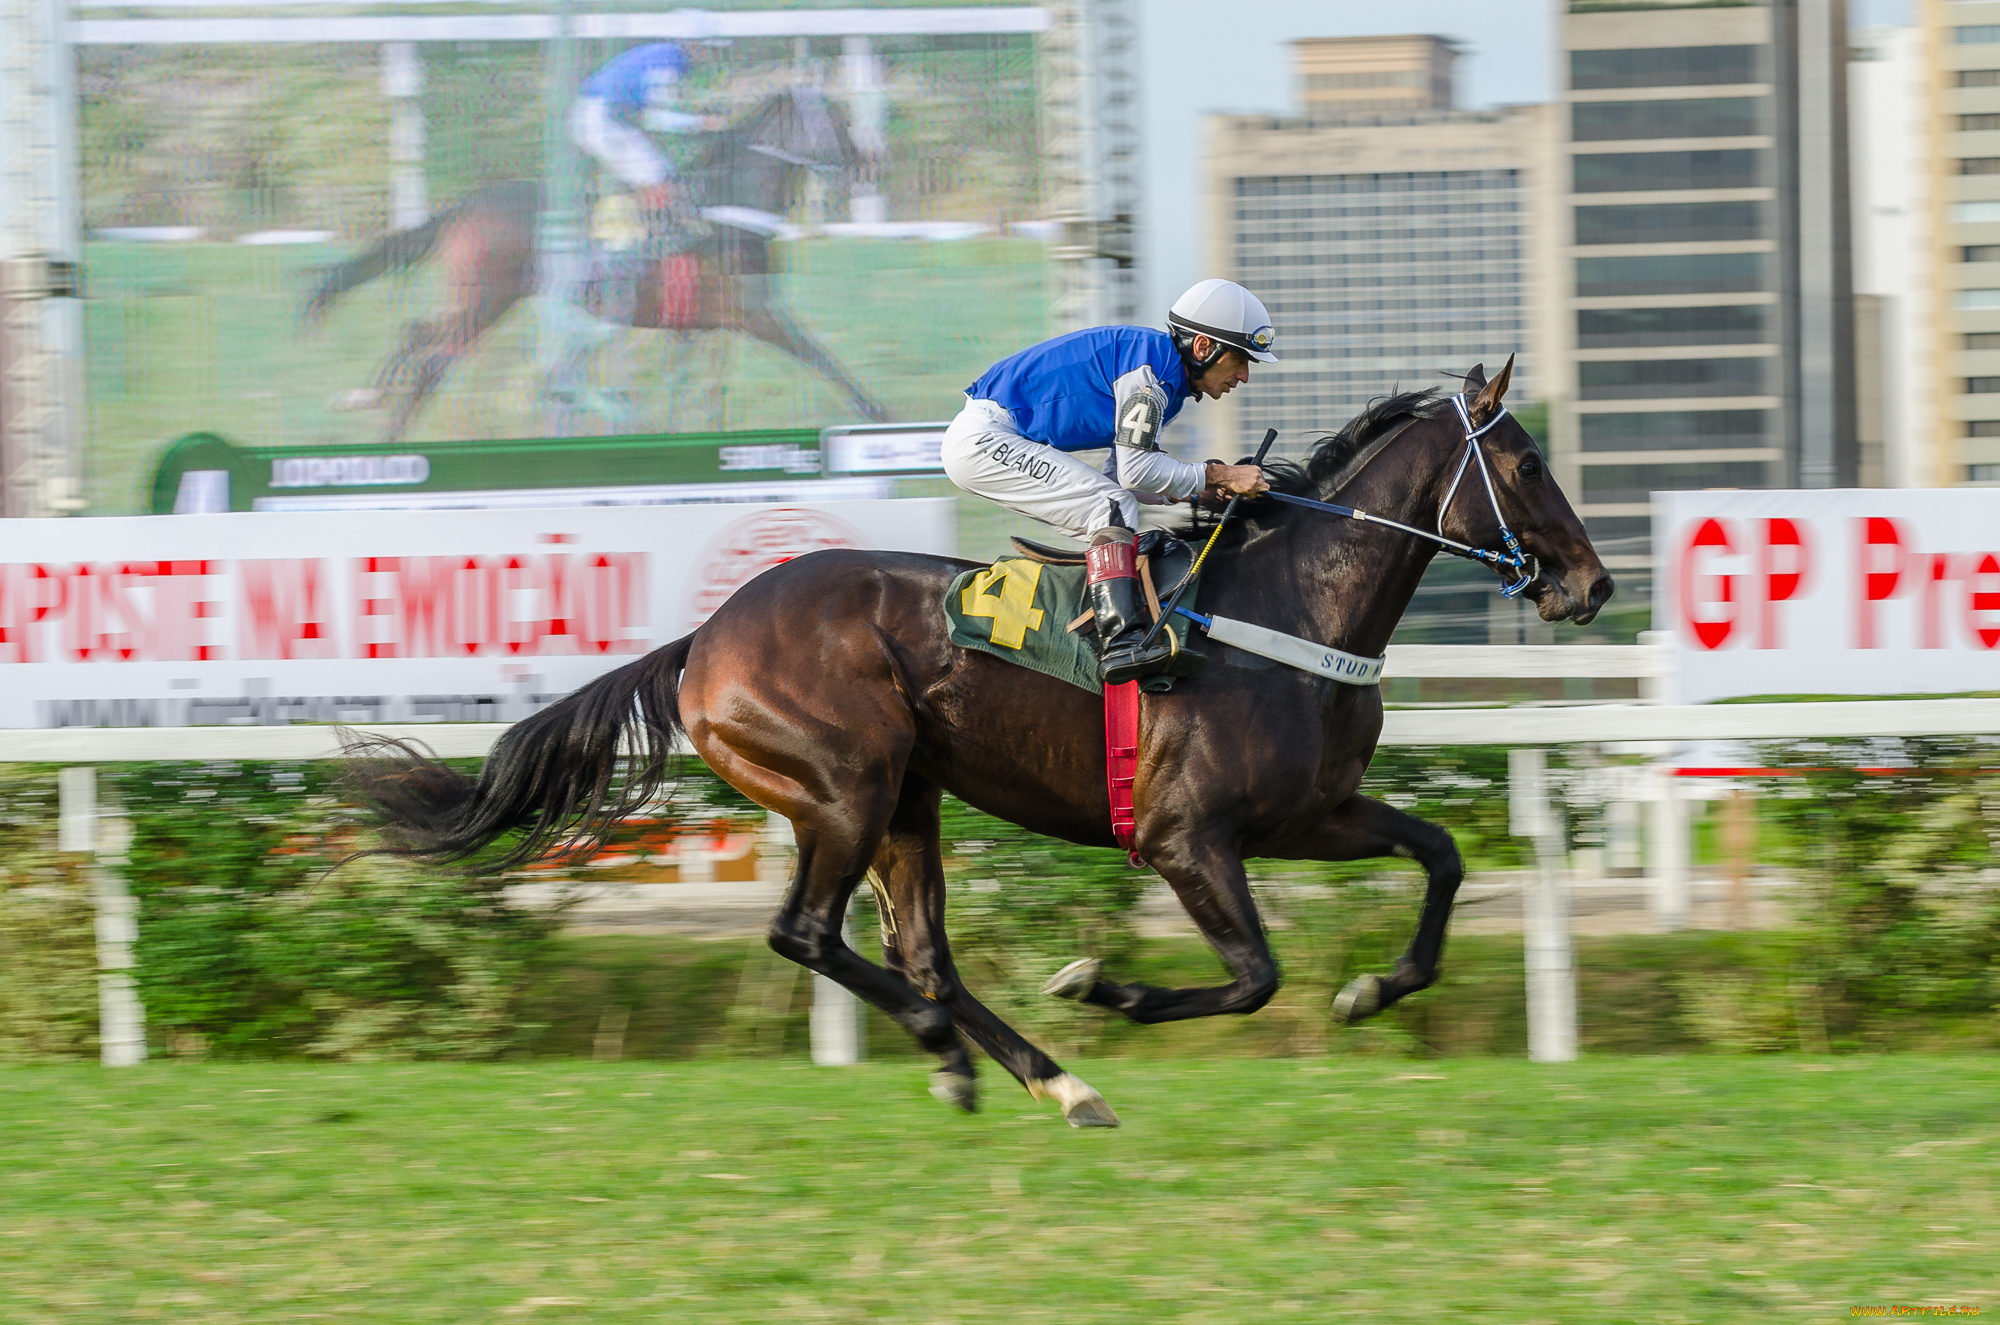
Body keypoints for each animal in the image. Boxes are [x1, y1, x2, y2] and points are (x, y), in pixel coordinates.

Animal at [299, 86, 889, 443]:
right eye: (835, 119)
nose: (869, 162)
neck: (725, 208)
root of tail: (464, 206)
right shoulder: (754, 312)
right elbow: (821, 356)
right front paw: (880, 417)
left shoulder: (700, 324)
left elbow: (700, 391)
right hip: (485, 300)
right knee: (430, 362)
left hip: (481, 301)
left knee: (416, 336)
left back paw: (371, 401)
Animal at [342, 360, 1612, 1126]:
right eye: (1524, 464)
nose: (1591, 585)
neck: (1286, 605)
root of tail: (704, 637)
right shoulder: (1184, 834)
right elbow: (1253, 975)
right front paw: (1108, 983)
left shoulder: (1307, 812)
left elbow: (1439, 856)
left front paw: (1372, 986)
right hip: (843, 787)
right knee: (809, 932)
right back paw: (963, 1048)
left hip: (907, 796)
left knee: (921, 953)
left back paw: (1044, 1078)